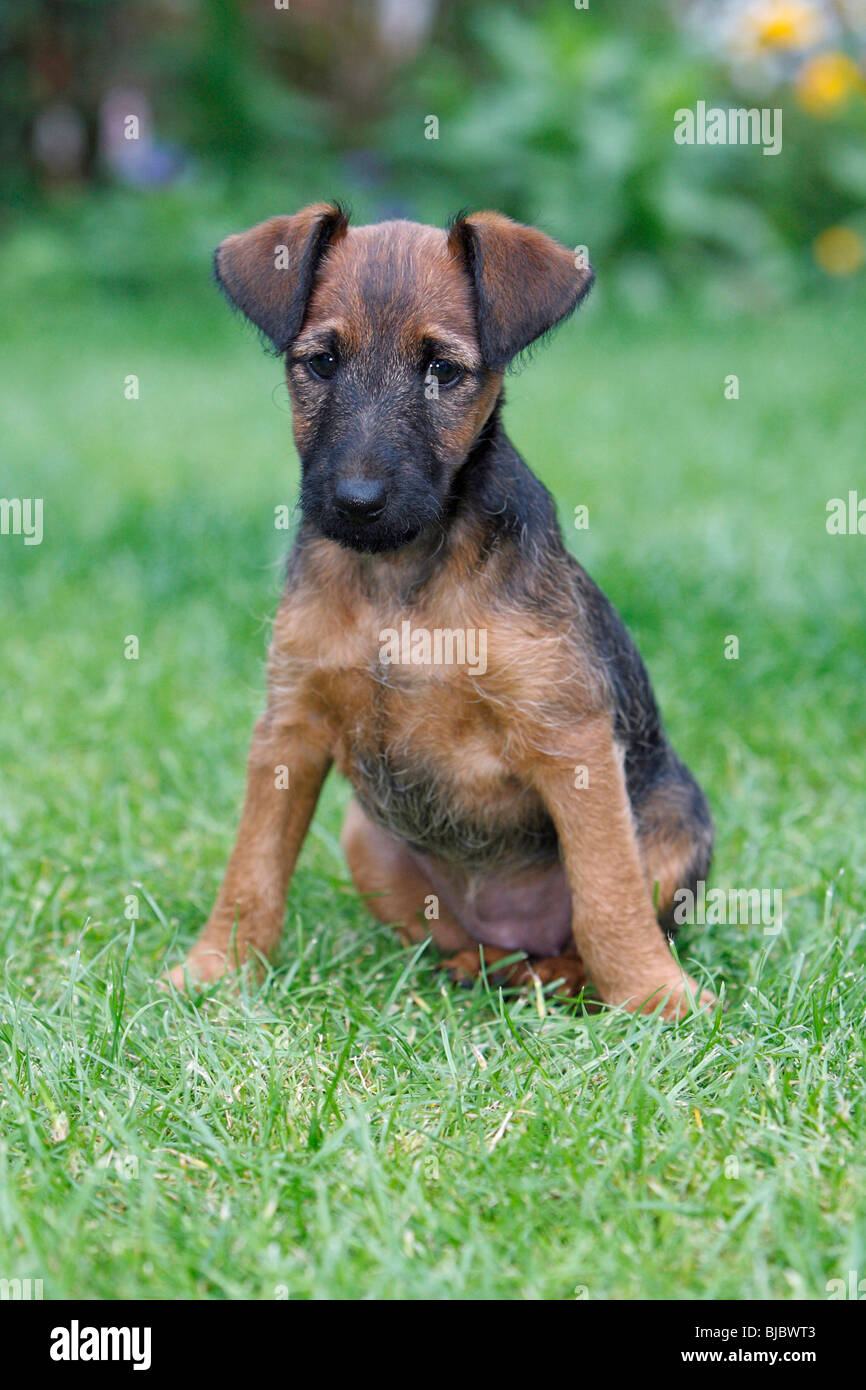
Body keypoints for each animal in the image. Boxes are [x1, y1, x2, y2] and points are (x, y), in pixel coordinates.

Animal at [170, 201, 717, 1017]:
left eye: (443, 371)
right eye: (321, 362)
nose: (356, 502)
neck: (399, 578)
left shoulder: (573, 742)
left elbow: (607, 896)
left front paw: (655, 996)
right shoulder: (289, 729)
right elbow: (252, 870)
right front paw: (216, 970)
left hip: (676, 820)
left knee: (579, 933)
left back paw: (561, 978)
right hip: (367, 839)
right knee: (466, 941)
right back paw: (477, 966)